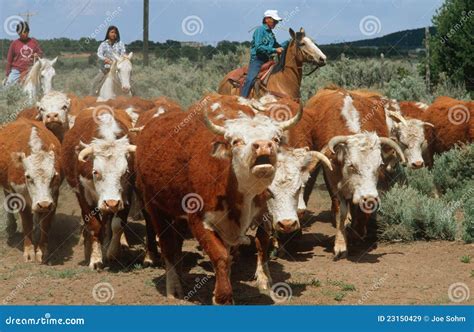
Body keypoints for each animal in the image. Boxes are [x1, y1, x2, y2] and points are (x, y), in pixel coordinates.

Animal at [0, 118, 62, 262]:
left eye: (53, 176)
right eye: (28, 176)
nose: (44, 204)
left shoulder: (54, 197)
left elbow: (45, 224)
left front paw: (42, 250)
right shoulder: (20, 196)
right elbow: (26, 223)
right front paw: (29, 251)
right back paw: (11, 226)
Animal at [61, 107, 135, 268]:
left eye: (125, 172)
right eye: (96, 172)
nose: (112, 203)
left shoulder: (127, 194)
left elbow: (117, 224)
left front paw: (112, 253)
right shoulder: (84, 195)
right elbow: (94, 226)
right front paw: (95, 259)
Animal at [135, 92, 302, 304]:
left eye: (276, 138)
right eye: (236, 141)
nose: (264, 146)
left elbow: (247, 248)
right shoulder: (199, 220)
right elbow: (220, 256)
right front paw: (222, 296)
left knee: (177, 243)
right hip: (155, 206)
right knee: (167, 245)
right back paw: (173, 287)